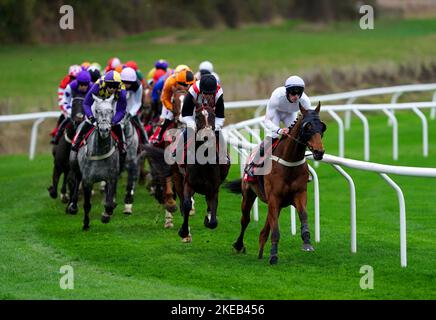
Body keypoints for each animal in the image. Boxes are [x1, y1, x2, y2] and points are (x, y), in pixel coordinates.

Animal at [68, 93, 120, 230]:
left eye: (111, 110)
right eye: (97, 111)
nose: (104, 129)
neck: (100, 152)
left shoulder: (111, 178)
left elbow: (108, 202)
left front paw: (107, 214)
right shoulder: (88, 181)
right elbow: (87, 205)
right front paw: (86, 223)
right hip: (75, 164)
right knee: (76, 180)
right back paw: (73, 206)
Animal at [172, 104, 230, 241]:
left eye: (213, 115)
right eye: (197, 117)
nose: (207, 136)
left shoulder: (214, 188)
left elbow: (213, 217)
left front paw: (208, 220)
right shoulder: (189, 184)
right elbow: (187, 204)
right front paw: (184, 232)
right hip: (177, 178)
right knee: (182, 201)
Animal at [230, 102, 326, 264]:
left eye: (322, 127)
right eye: (307, 127)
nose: (319, 152)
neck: (289, 162)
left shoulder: (299, 194)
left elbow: (303, 215)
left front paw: (307, 241)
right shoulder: (274, 197)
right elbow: (275, 229)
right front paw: (273, 255)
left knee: (265, 228)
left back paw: (261, 250)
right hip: (248, 194)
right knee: (245, 219)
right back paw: (239, 245)